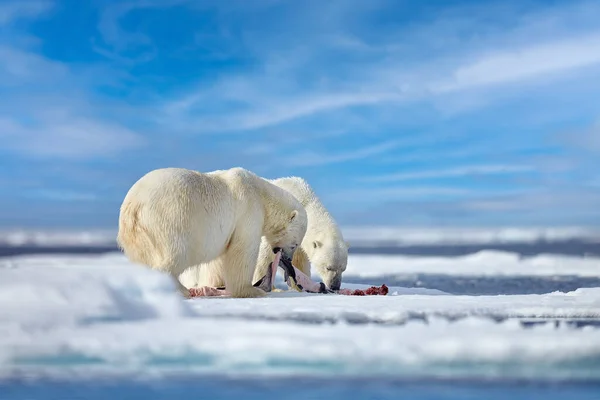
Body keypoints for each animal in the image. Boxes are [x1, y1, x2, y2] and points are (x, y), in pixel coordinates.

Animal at [115, 167, 308, 298]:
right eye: (295, 244)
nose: (288, 259)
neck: (262, 195)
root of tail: (134, 204)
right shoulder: (248, 211)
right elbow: (242, 251)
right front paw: (251, 290)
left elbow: (218, 260)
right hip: (172, 217)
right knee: (175, 254)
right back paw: (180, 290)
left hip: (137, 235)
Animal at [179, 175, 346, 290]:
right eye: (328, 267)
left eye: (343, 269)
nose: (335, 287)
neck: (304, 198)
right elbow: (265, 256)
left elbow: (299, 261)